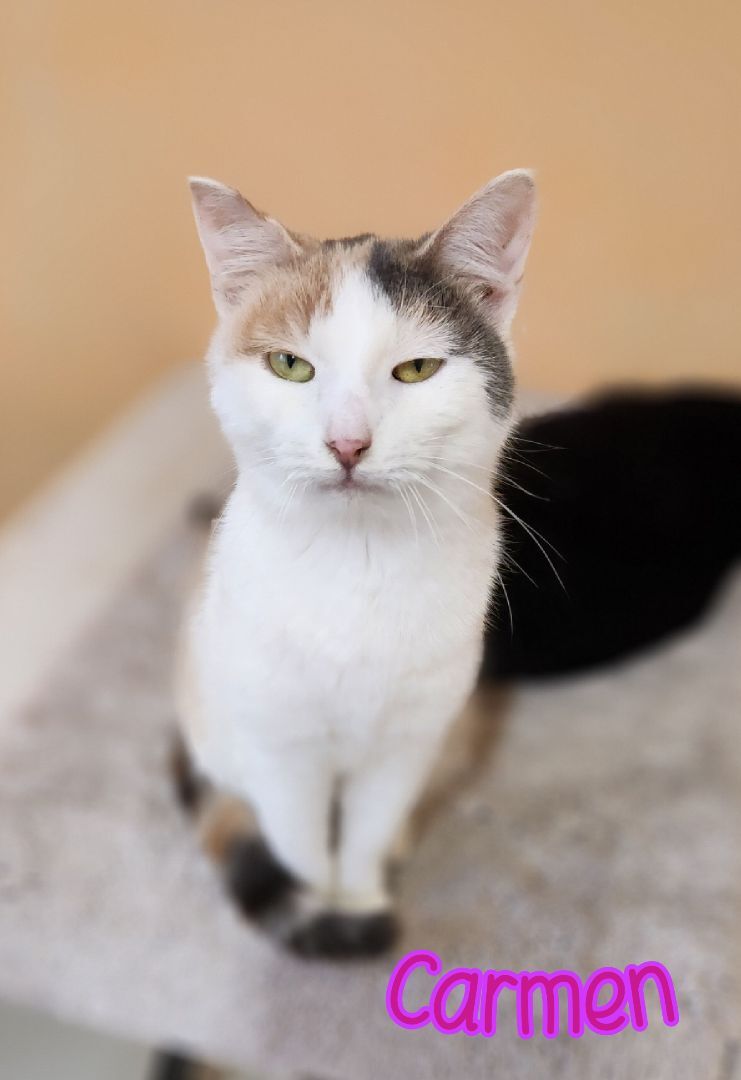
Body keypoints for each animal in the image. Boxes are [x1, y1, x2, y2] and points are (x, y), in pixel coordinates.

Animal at [178, 166, 540, 954]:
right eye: (290, 365)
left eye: (416, 368)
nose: (347, 443)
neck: (357, 561)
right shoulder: (281, 748)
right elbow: (300, 845)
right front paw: (324, 908)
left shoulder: (408, 742)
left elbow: (368, 832)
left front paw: (361, 895)